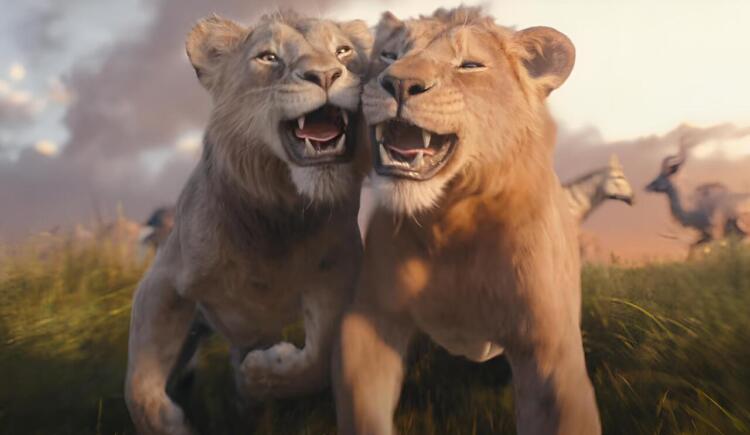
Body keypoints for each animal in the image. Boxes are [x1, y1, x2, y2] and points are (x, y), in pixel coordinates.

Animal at [124, 11, 372, 435]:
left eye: (343, 51)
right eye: (268, 57)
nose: (325, 75)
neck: (275, 217)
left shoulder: (335, 275)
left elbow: (318, 359)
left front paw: (260, 376)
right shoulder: (163, 280)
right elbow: (138, 385)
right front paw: (169, 423)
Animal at [333, 7, 601, 435]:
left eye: (469, 65)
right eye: (389, 56)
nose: (399, 83)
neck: (447, 222)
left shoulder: (547, 346)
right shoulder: (368, 318)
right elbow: (362, 411)